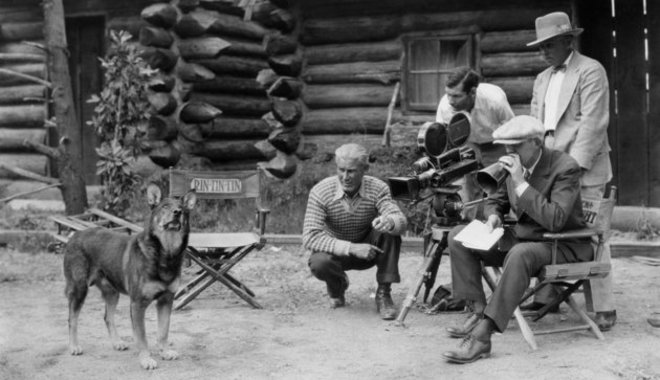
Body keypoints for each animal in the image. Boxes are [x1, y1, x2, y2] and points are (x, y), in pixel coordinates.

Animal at [62, 183, 197, 368]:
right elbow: (142, 337)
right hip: (79, 289)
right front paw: (146, 359)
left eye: (182, 209)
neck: (165, 253)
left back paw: (117, 343)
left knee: (107, 317)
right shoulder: (138, 304)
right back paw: (74, 346)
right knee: (72, 319)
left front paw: (164, 352)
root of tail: (75, 235)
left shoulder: (166, 300)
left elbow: (163, 332)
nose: (177, 213)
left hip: (112, 293)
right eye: (165, 206)